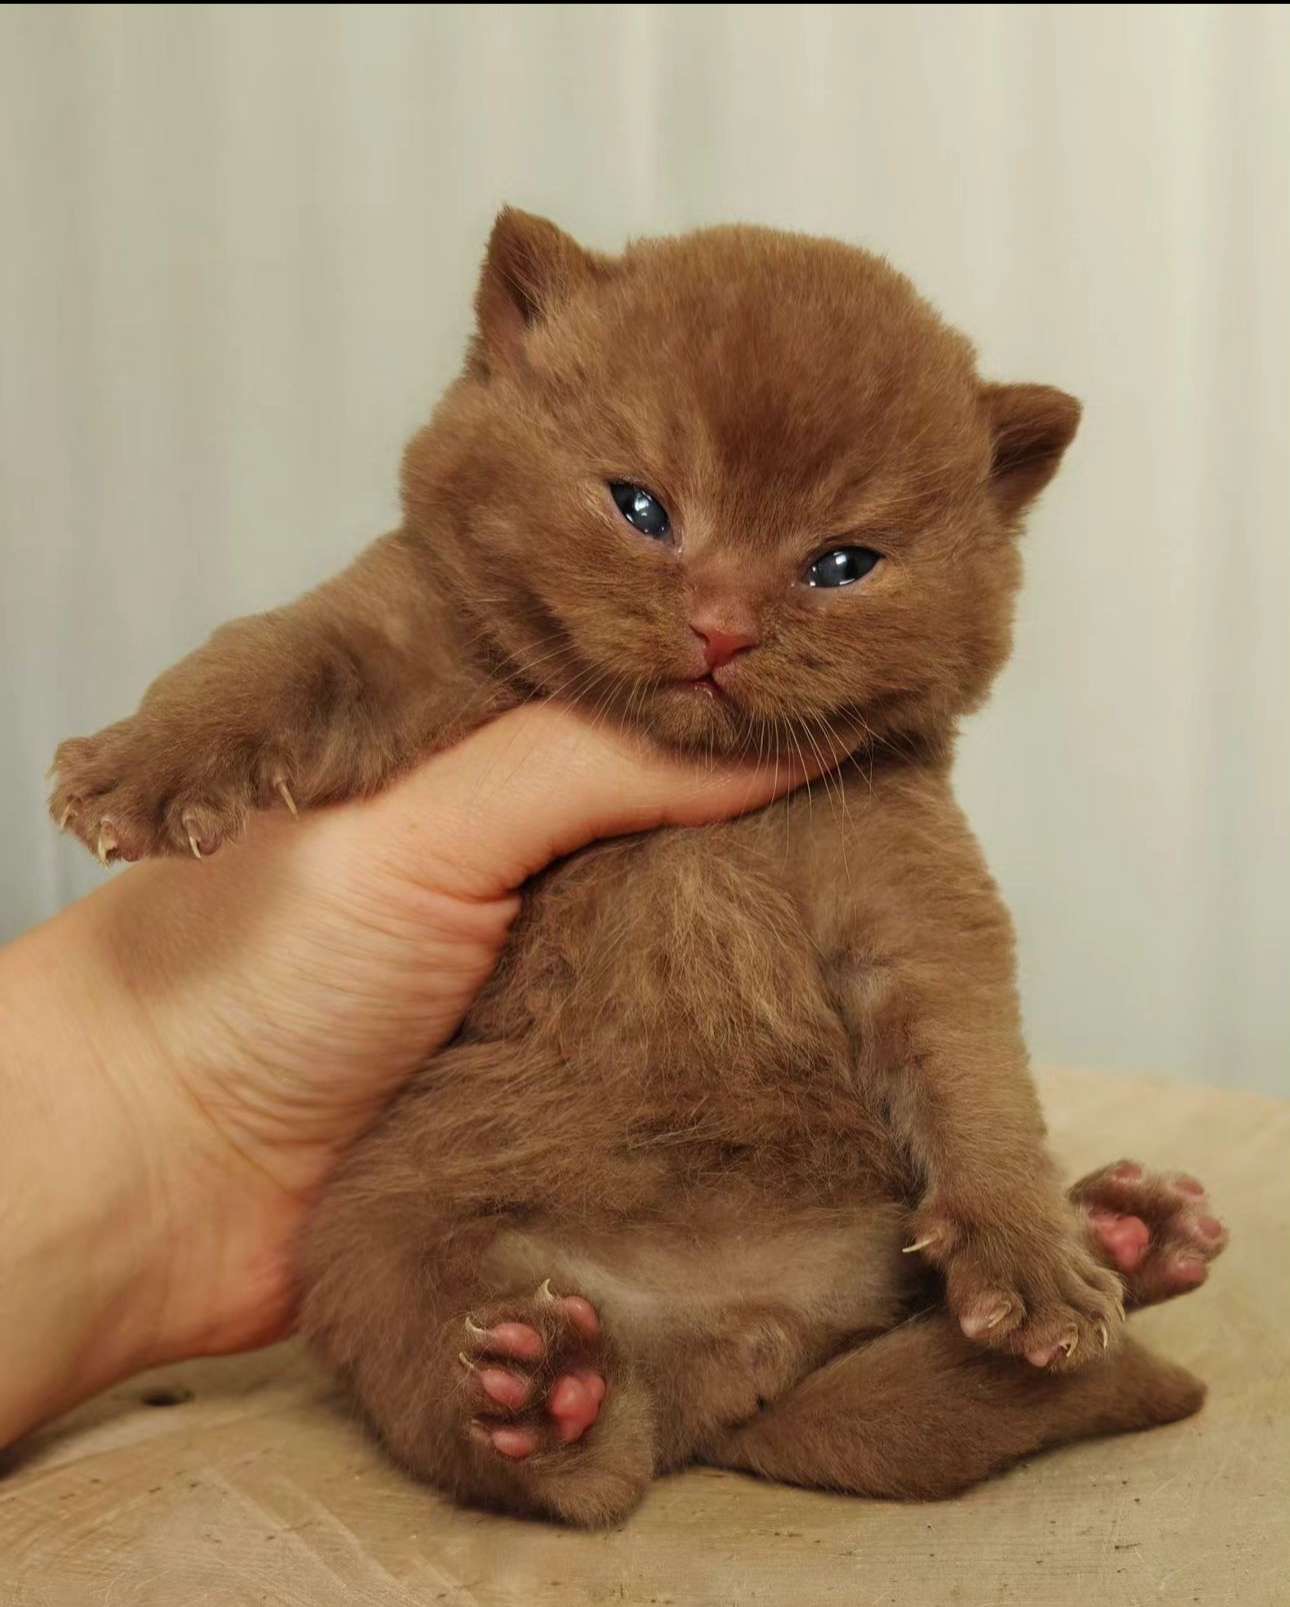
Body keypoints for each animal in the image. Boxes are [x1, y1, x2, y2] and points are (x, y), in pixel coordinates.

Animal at [47, 216, 1233, 1529]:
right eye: (641, 506)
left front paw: (1030, 1254)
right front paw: (135, 765)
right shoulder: (394, 628)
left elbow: (974, 1065)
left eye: (842, 563)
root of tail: (742, 1359)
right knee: (560, 1464)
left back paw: (1125, 1238)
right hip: (377, 1242)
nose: (721, 625)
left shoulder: (913, 885)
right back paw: (544, 1390)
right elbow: (263, 655)